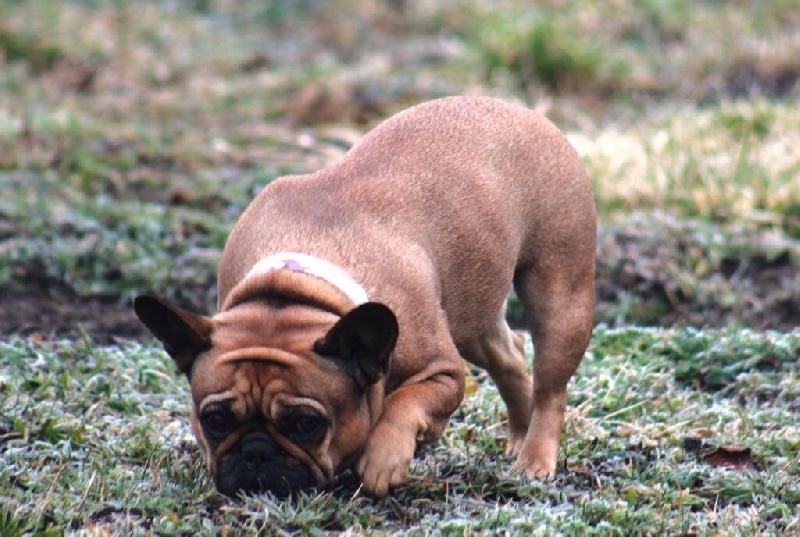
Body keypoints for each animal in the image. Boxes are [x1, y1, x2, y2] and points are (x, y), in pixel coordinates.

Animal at [133, 94, 592, 496]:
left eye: (306, 423)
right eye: (214, 420)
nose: (256, 453)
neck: (295, 292)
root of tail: (521, 111)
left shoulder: (443, 372)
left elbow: (403, 403)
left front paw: (383, 458)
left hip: (559, 295)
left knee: (550, 387)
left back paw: (534, 458)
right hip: (470, 312)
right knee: (509, 353)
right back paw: (517, 435)